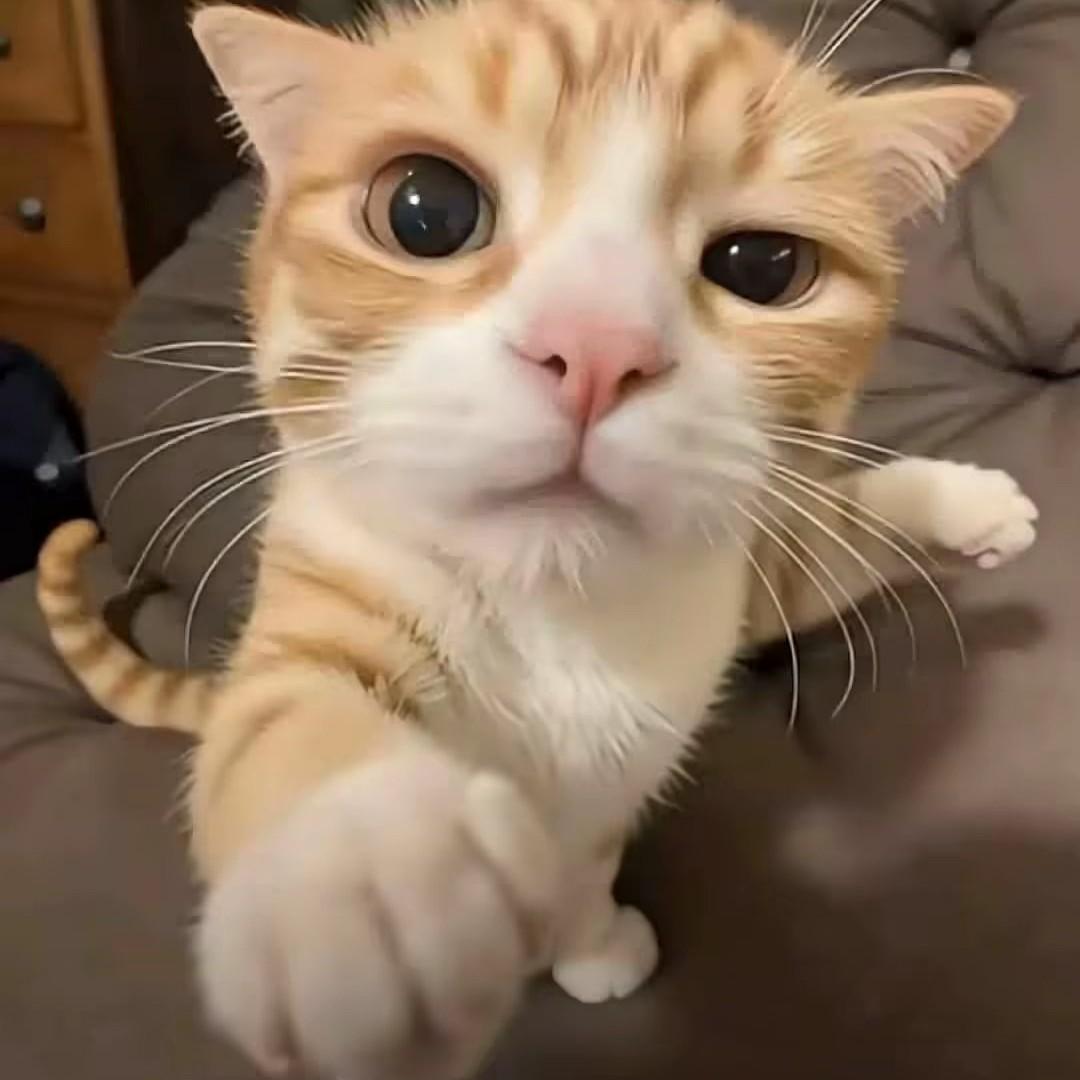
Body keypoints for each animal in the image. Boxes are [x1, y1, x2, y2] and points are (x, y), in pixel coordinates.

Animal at [36, 0, 1037, 1077]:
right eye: (425, 211)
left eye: (766, 267)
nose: (598, 348)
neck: (556, 616)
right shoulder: (327, 588)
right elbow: (289, 718)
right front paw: (371, 874)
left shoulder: (725, 588)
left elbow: (815, 558)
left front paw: (962, 503)